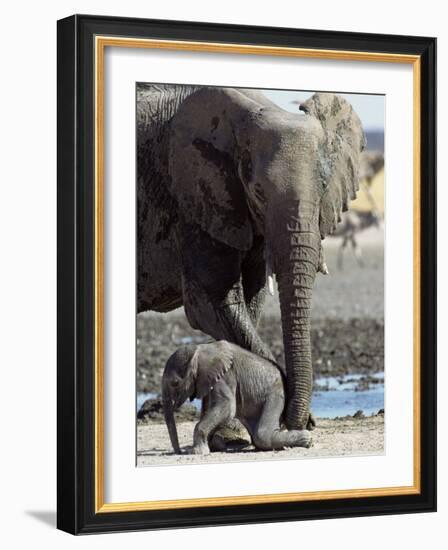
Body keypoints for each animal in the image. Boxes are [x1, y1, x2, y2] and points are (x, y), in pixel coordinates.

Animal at [136, 85, 364, 432]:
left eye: (324, 188)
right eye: (257, 192)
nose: (300, 423)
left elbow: (251, 303)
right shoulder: (194, 201)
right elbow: (213, 305)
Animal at [162, 340, 312, 458]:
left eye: (175, 383)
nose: (179, 452)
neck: (199, 349)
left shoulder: (225, 376)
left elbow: (227, 407)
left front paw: (197, 452)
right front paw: (209, 446)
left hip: (276, 394)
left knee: (262, 435)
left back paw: (307, 439)